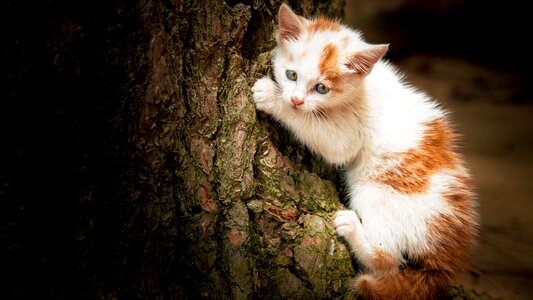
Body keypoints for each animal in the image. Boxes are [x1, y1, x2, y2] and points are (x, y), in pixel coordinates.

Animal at [252, 3, 478, 298]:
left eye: (321, 88)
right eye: (291, 74)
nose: (296, 99)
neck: (361, 87)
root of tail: (447, 255)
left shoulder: (349, 132)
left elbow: (328, 140)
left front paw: (271, 97)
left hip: (377, 190)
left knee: (389, 261)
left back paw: (355, 232)